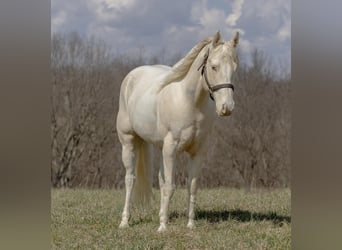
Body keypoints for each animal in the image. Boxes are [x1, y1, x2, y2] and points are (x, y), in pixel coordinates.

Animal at [116, 31, 239, 232]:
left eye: (234, 68)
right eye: (214, 67)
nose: (226, 108)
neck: (189, 102)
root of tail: (132, 76)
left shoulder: (197, 152)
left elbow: (191, 186)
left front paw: (190, 224)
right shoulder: (171, 149)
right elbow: (170, 186)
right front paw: (163, 228)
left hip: (159, 148)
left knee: (159, 180)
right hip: (129, 142)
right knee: (130, 179)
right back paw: (125, 221)